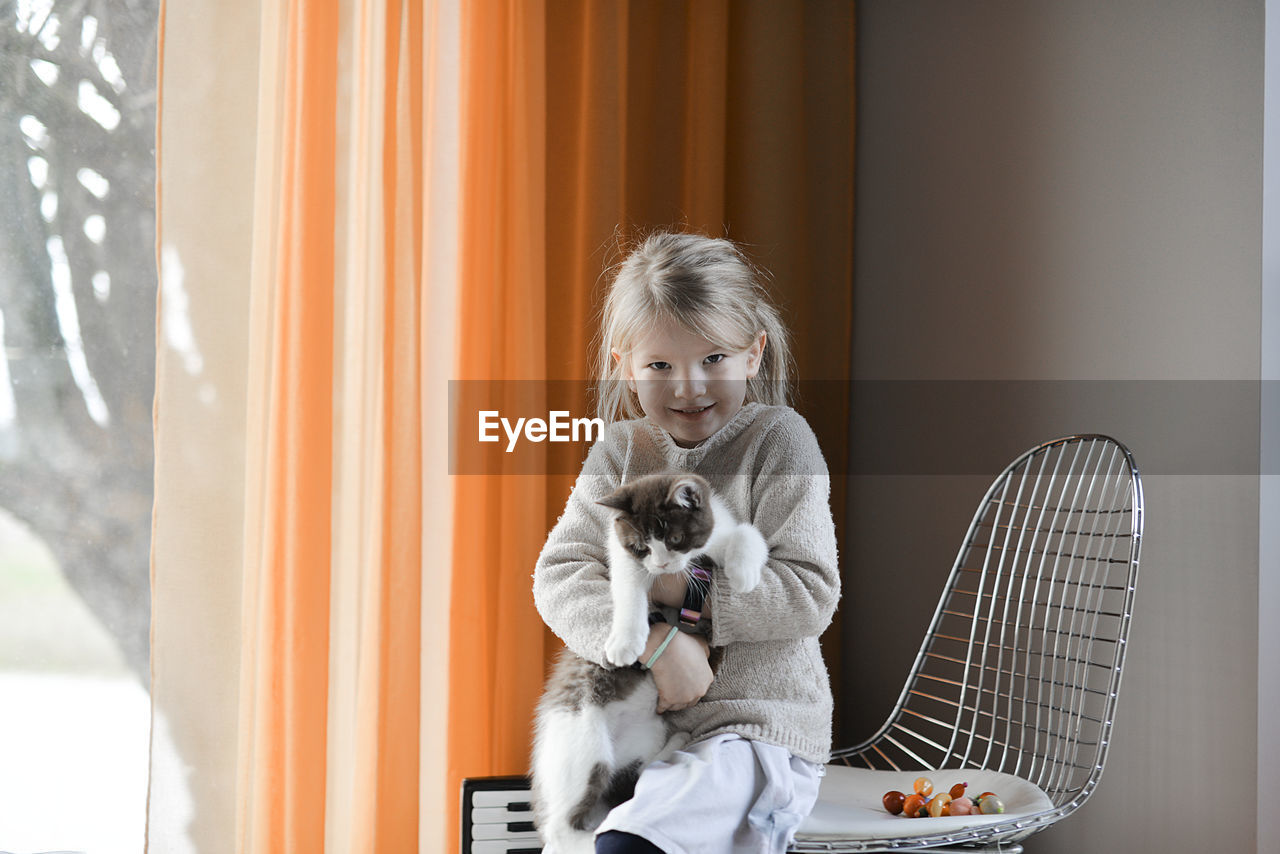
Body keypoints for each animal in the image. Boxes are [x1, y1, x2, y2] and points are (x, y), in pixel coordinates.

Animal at [532, 473, 768, 854]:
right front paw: (625, 643)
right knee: (563, 829)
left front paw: (744, 575)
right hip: (581, 740)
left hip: (647, 732)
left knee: (636, 776)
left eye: (675, 539)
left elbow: (749, 534)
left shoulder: (721, 528)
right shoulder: (623, 557)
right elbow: (628, 589)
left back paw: (677, 741)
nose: (661, 566)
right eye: (641, 547)